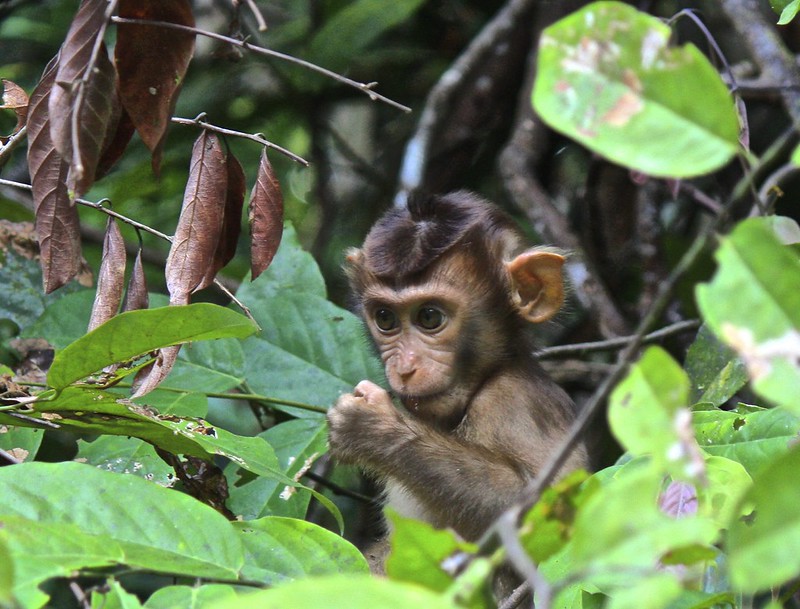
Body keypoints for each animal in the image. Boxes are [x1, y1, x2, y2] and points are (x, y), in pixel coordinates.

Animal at [326, 190, 588, 550]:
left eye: (429, 317)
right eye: (385, 318)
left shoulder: (514, 402)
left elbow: (542, 514)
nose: (405, 367)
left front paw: (375, 428)